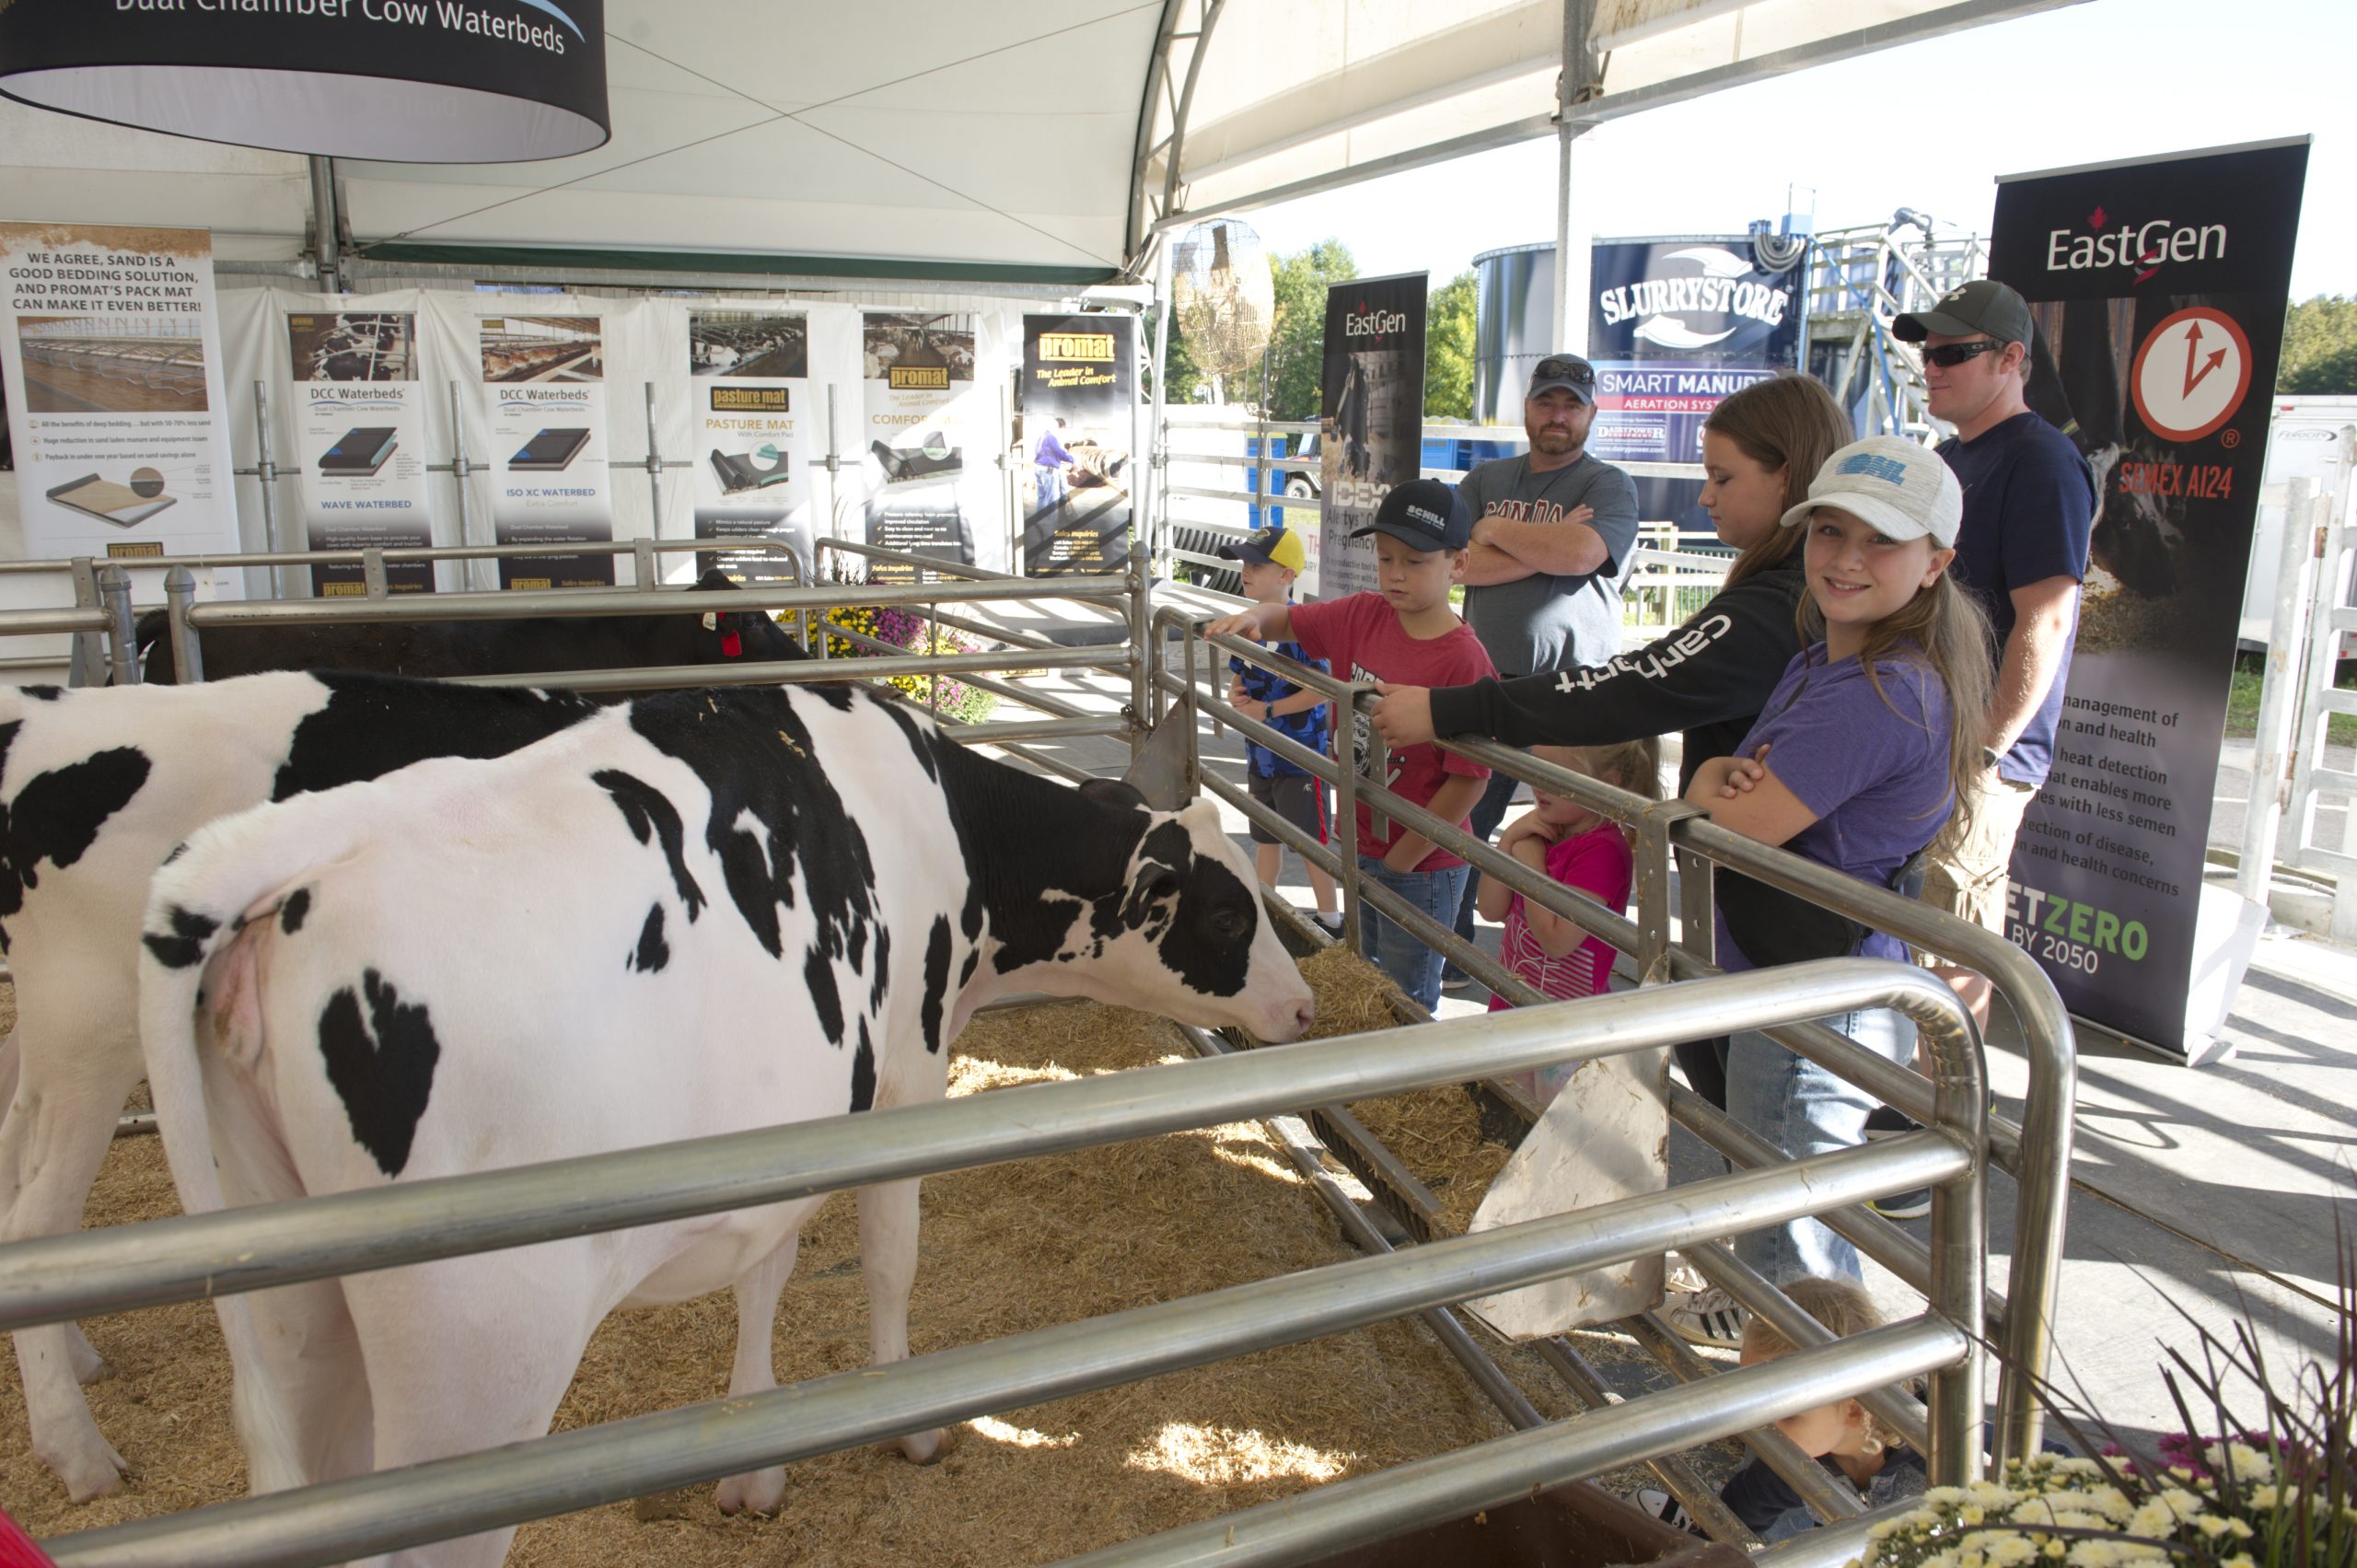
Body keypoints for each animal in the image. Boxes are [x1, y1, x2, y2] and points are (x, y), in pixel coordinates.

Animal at [142, 679, 1329, 1556]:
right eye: (1228, 911)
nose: (1310, 1004)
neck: (944, 826)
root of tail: (297, 846)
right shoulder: (903, 1078)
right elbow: (889, 1255)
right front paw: (909, 1424)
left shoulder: (791, 1113)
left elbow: (769, 1265)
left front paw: (755, 1458)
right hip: (474, 1365)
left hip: (295, 1305)